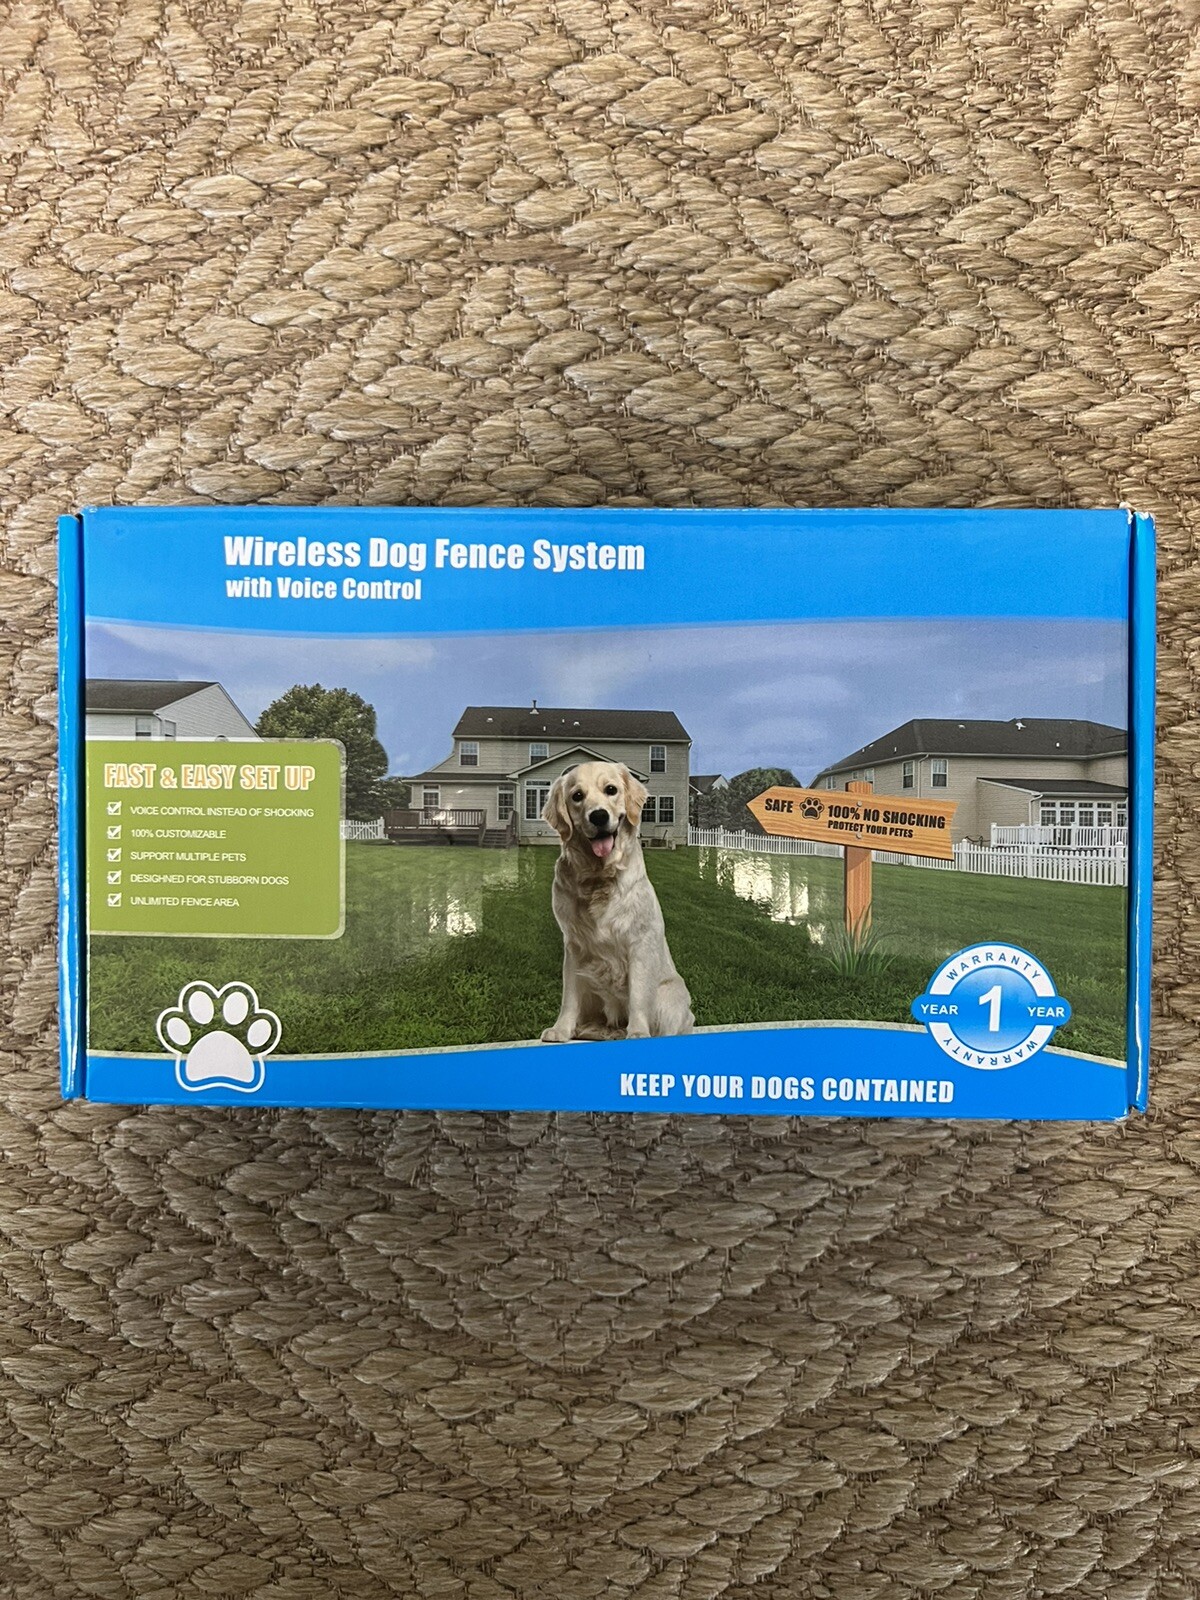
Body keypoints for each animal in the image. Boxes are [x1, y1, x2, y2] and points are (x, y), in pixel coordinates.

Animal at [541, 761, 694, 1042]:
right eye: (577, 796)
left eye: (611, 790)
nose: (599, 816)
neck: (599, 876)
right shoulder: (574, 945)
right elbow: (570, 996)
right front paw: (561, 1028)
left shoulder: (639, 943)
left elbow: (637, 995)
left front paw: (637, 1032)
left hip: (670, 995)